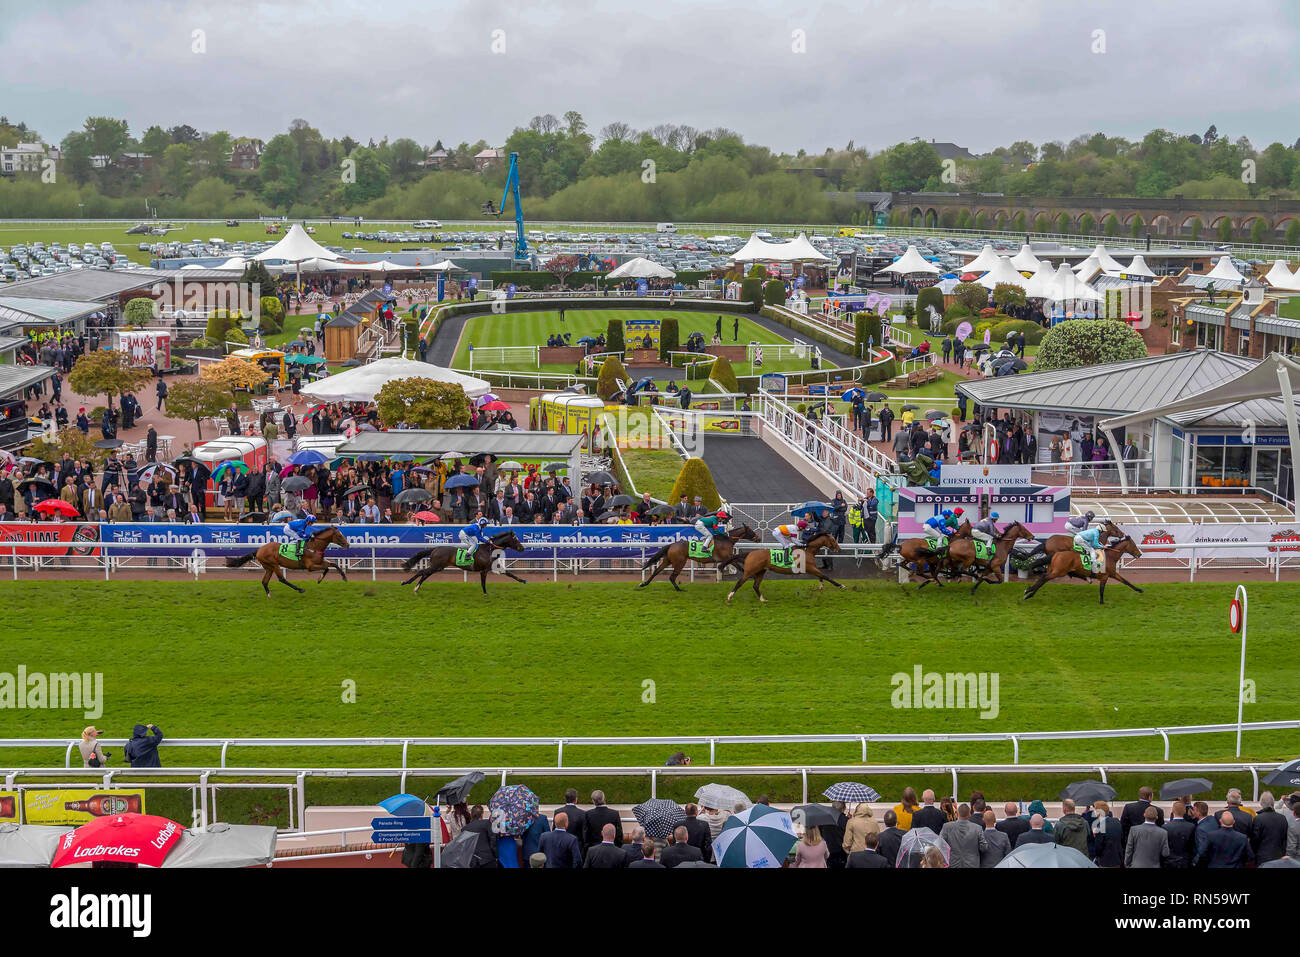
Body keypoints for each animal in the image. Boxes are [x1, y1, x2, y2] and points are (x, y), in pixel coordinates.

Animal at [397, 527, 525, 595]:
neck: (489, 550)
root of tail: (435, 548)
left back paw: (415, 588)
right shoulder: (483, 571)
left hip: (438, 567)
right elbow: (483, 583)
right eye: (515, 539)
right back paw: (406, 583)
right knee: (421, 572)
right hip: (436, 566)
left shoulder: (493, 567)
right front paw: (485, 594)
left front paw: (523, 580)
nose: (522, 548)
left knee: (425, 574)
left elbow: (509, 573)